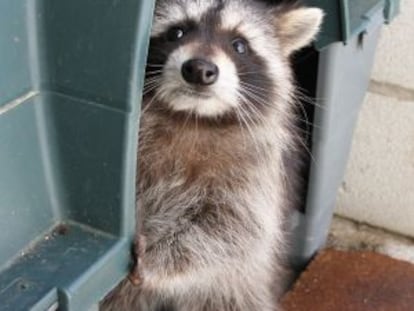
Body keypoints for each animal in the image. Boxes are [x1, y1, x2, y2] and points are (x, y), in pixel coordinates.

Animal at [102, 0, 322, 311]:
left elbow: (233, 229)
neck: (192, 118)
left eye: (239, 45)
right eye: (177, 32)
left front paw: (160, 259)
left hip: (236, 289)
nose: (199, 70)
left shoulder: (257, 173)